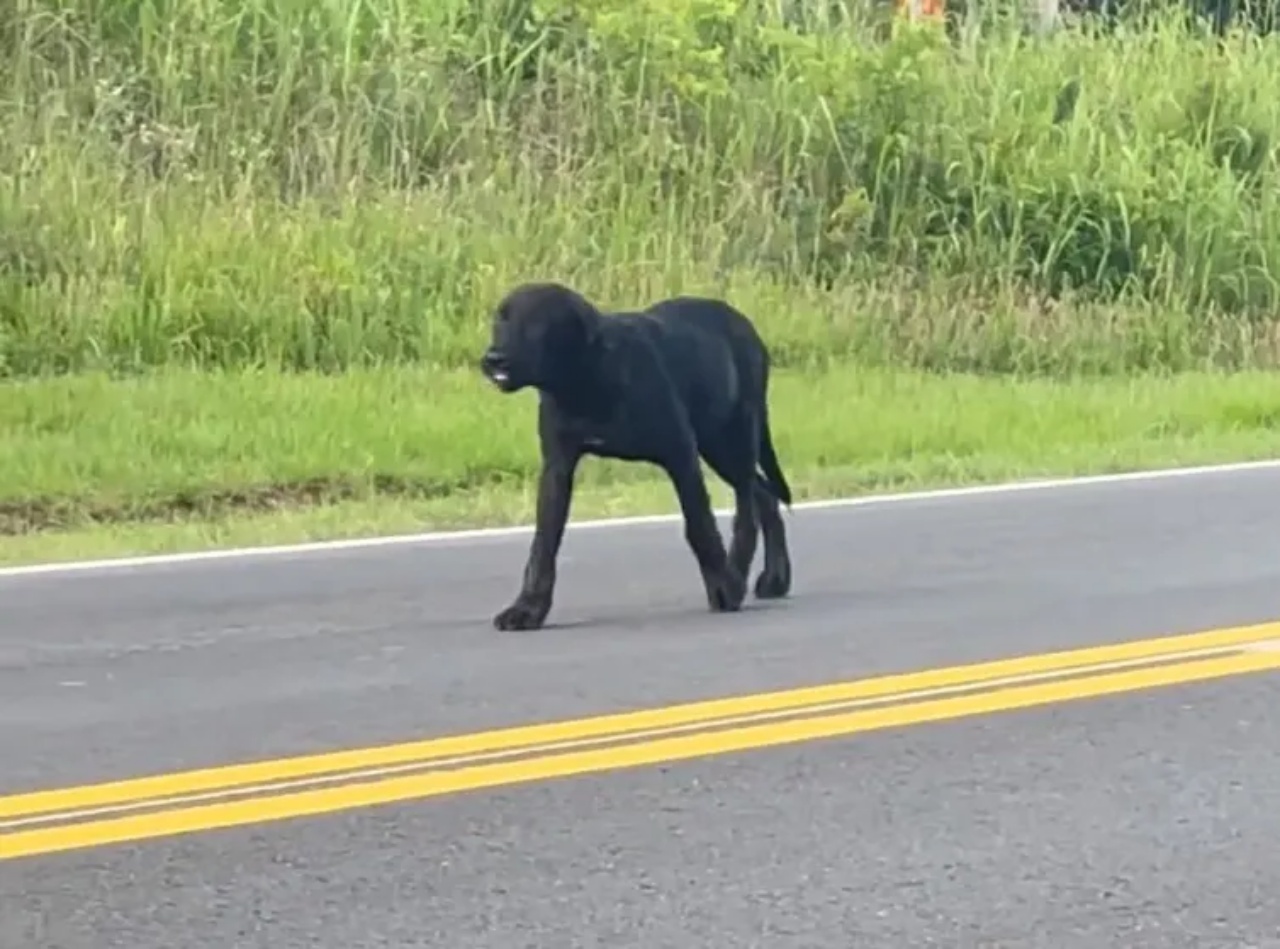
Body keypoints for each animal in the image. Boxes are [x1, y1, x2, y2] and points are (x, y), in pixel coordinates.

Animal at [478, 283, 788, 637]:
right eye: (500, 320)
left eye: (535, 323)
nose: (493, 358)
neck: (585, 379)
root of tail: (745, 324)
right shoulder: (557, 466)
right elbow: (544, 542)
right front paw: (527, 609)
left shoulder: (680, 453)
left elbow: (700, 526)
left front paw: (723, 586)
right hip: (718, 447)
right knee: (764, 493)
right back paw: (774, 579)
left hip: (733, 437)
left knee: (748, 504)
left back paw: (739, 575)